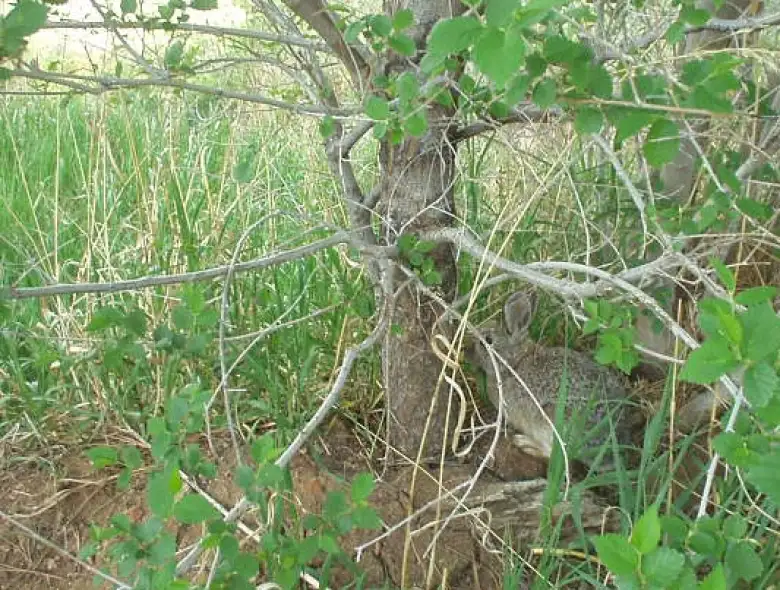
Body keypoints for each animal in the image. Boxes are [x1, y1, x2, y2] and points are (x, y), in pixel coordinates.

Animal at [466, 290, 635, 471]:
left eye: (487, 340)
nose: (466, 352)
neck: (513, 363)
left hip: (551, 422)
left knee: (555, 454)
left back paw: (525, 443)